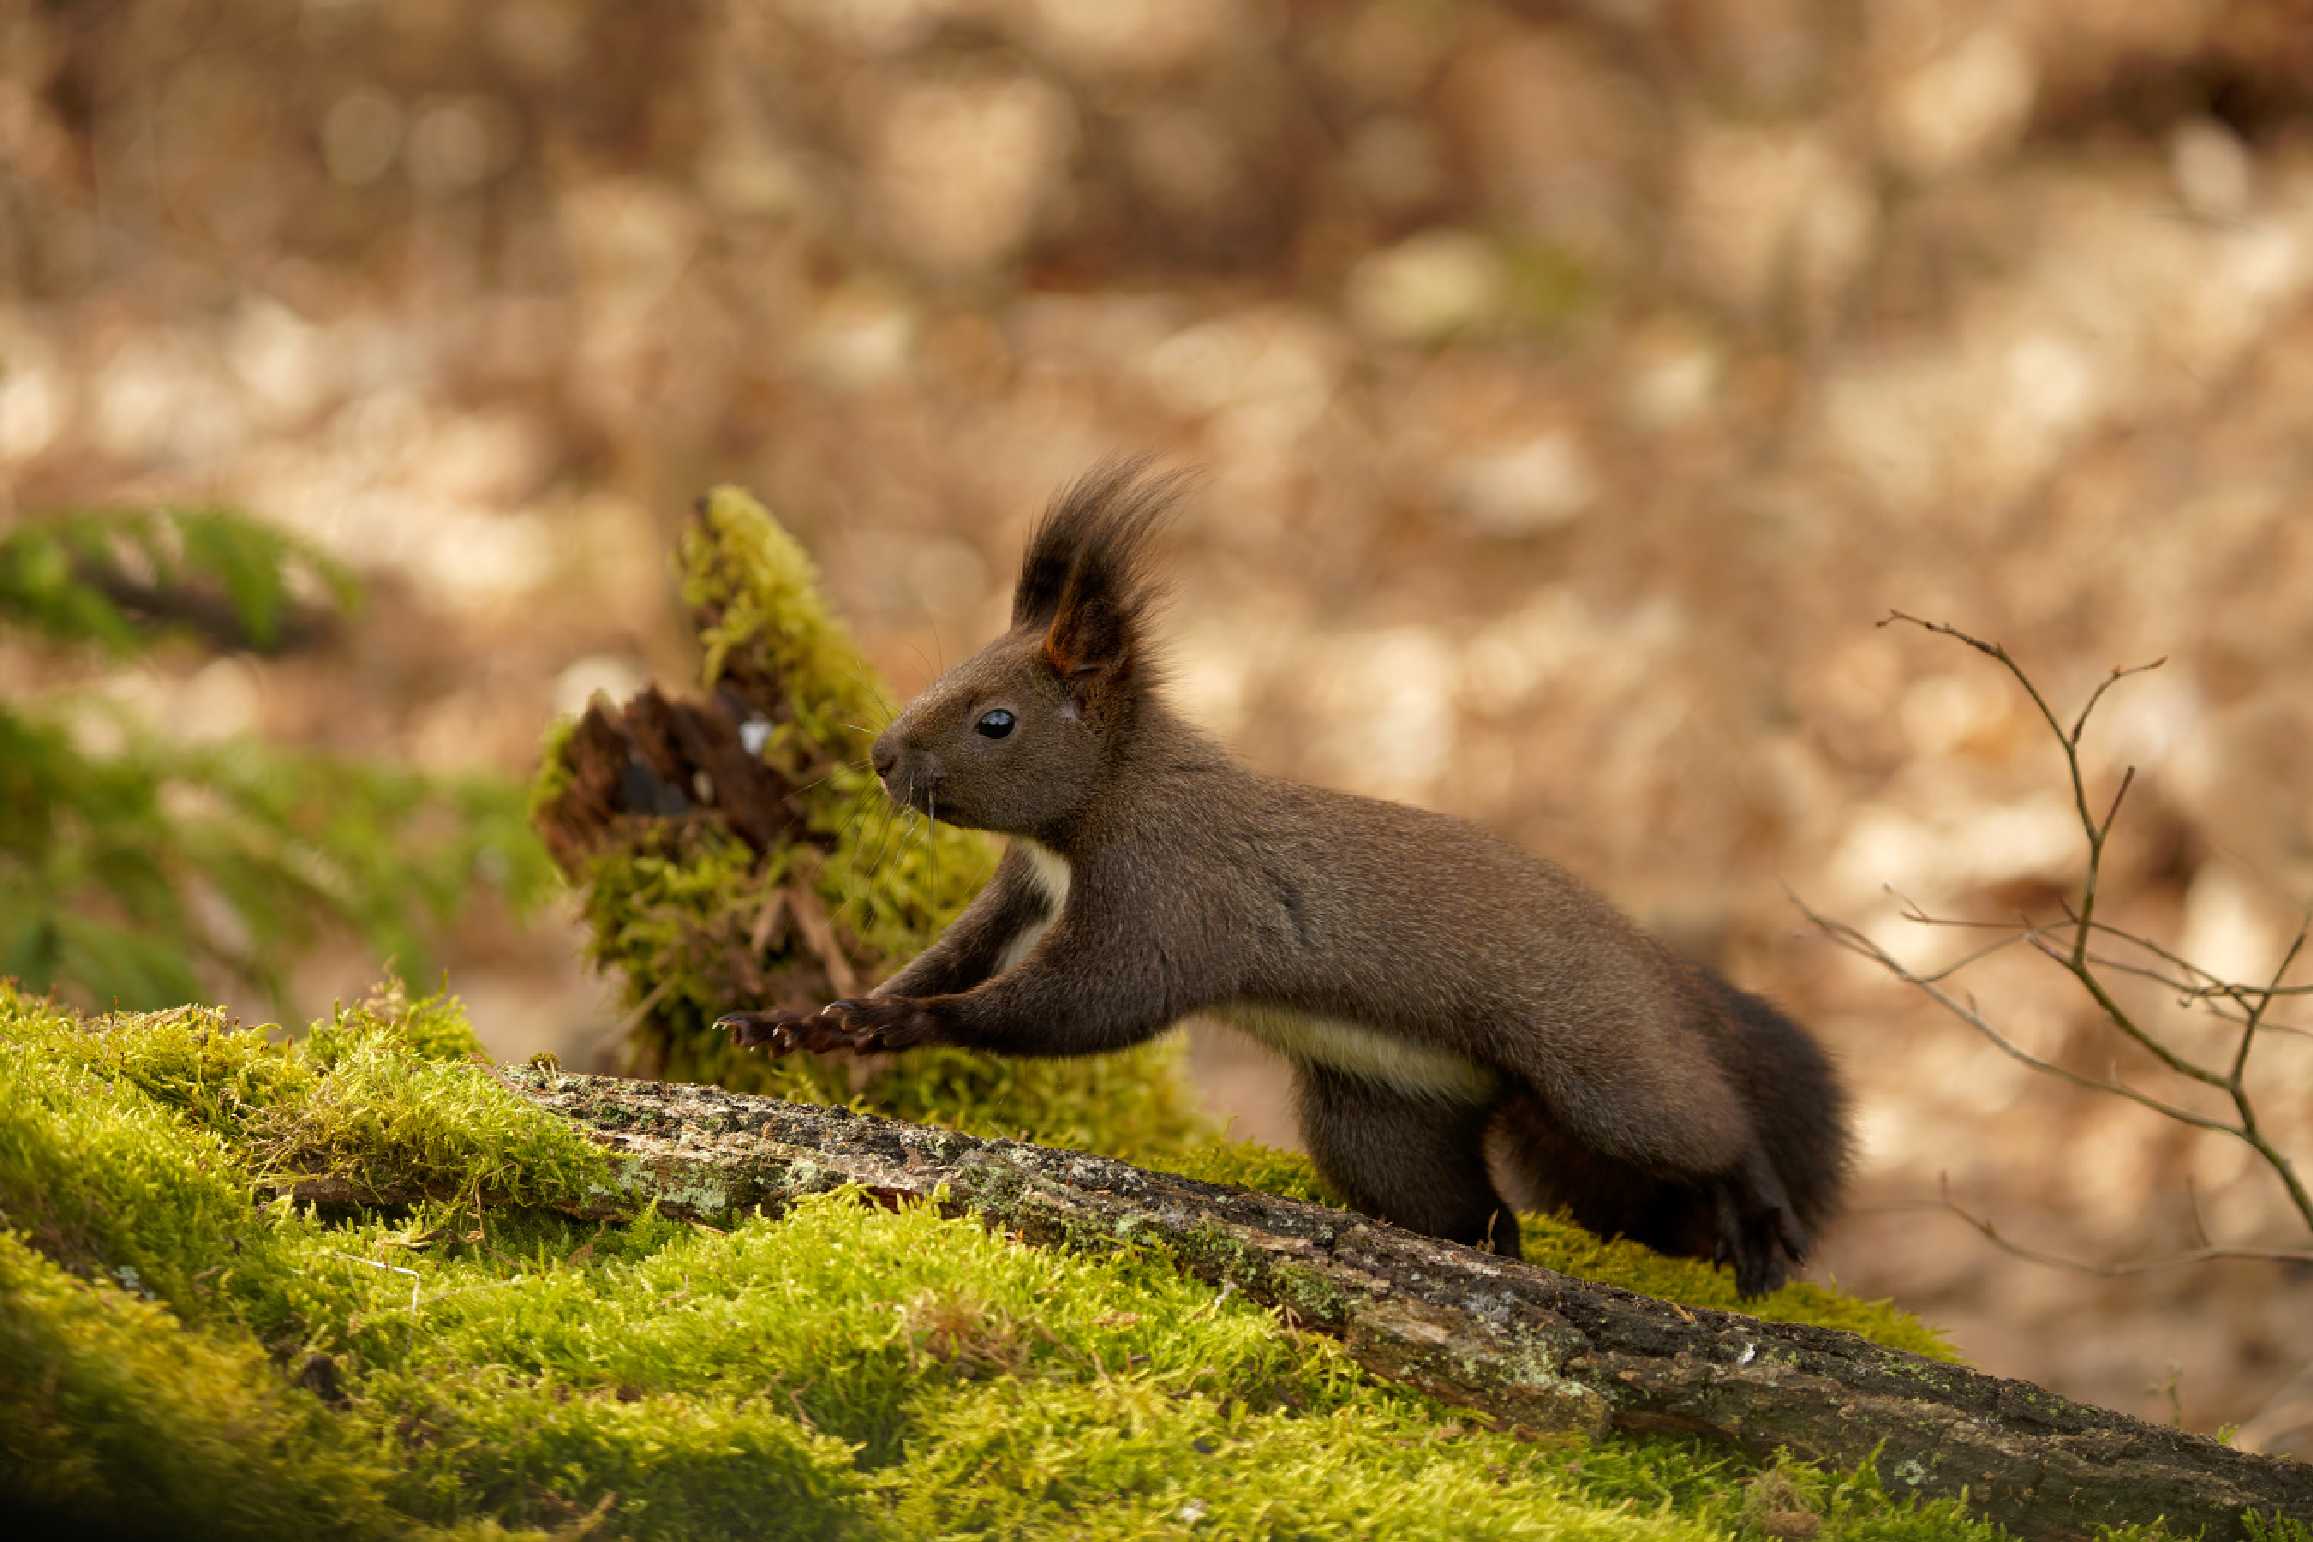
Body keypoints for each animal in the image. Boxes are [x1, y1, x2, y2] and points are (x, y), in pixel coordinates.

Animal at [712, 462, 1850, 1303]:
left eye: (997, 720)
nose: (881, 758)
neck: (1100, 807)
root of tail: (1655, 967)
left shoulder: (1170, 897)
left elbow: (1078, 1006)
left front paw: (914, 1027)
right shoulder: (1025, 888)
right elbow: (948, 956)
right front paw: (809, 1021)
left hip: (1596, 1058)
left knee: (1700, 1126)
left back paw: (1757, 1221)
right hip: (1383, 1116)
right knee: (1471, 1211)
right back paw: (1486, 1251)